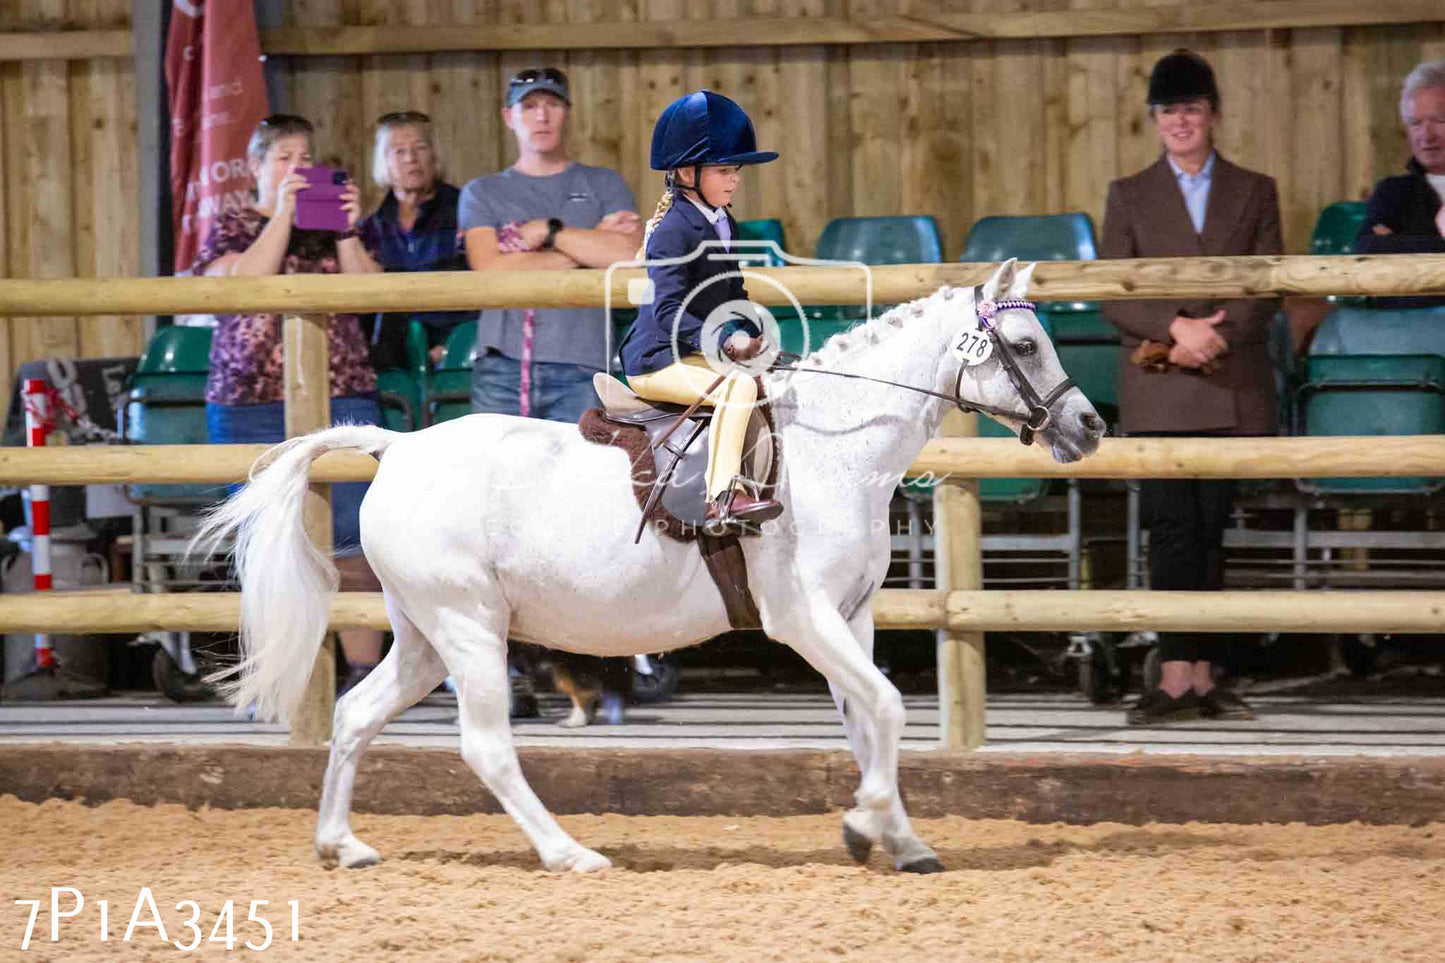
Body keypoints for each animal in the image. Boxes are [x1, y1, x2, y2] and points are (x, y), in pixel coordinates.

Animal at [197, 254, 1103, 867]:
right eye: (1025, 343)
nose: (1088, 426)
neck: (833, 448)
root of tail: (397, 446)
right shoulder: (803, 616)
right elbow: (882, 706)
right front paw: (863, 823)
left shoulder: (853, 615)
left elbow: (865, 719)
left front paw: (900, 838)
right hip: (469, 627)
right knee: (486, 745)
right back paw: (569, 852)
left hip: (424, 635)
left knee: (356, 715)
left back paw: (340, 843)